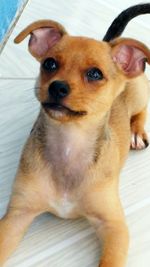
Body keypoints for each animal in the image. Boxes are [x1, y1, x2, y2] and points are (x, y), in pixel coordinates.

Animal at [0, 19, 149, 266]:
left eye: (95, 74)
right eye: (49, 64)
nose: (57, 87)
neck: (69, 145)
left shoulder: (114, 226)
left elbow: (110, 260)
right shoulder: (16, 217)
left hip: (139, 94)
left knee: (141, 110)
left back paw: (136, 132)